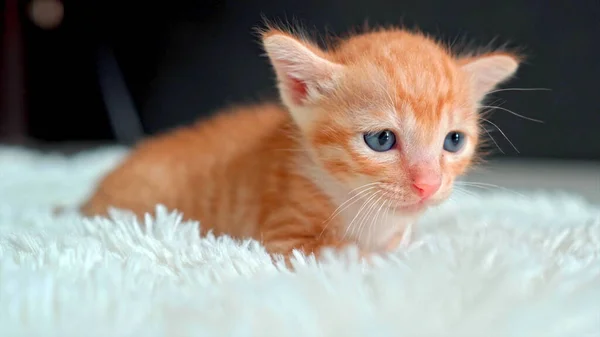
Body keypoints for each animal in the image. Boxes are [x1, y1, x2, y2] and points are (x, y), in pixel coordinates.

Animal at [79, 25, 520, 262]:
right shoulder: (285, 237)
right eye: (381, 140)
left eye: (454, 141)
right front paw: (381, 256)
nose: (428, 184)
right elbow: (348, 253)